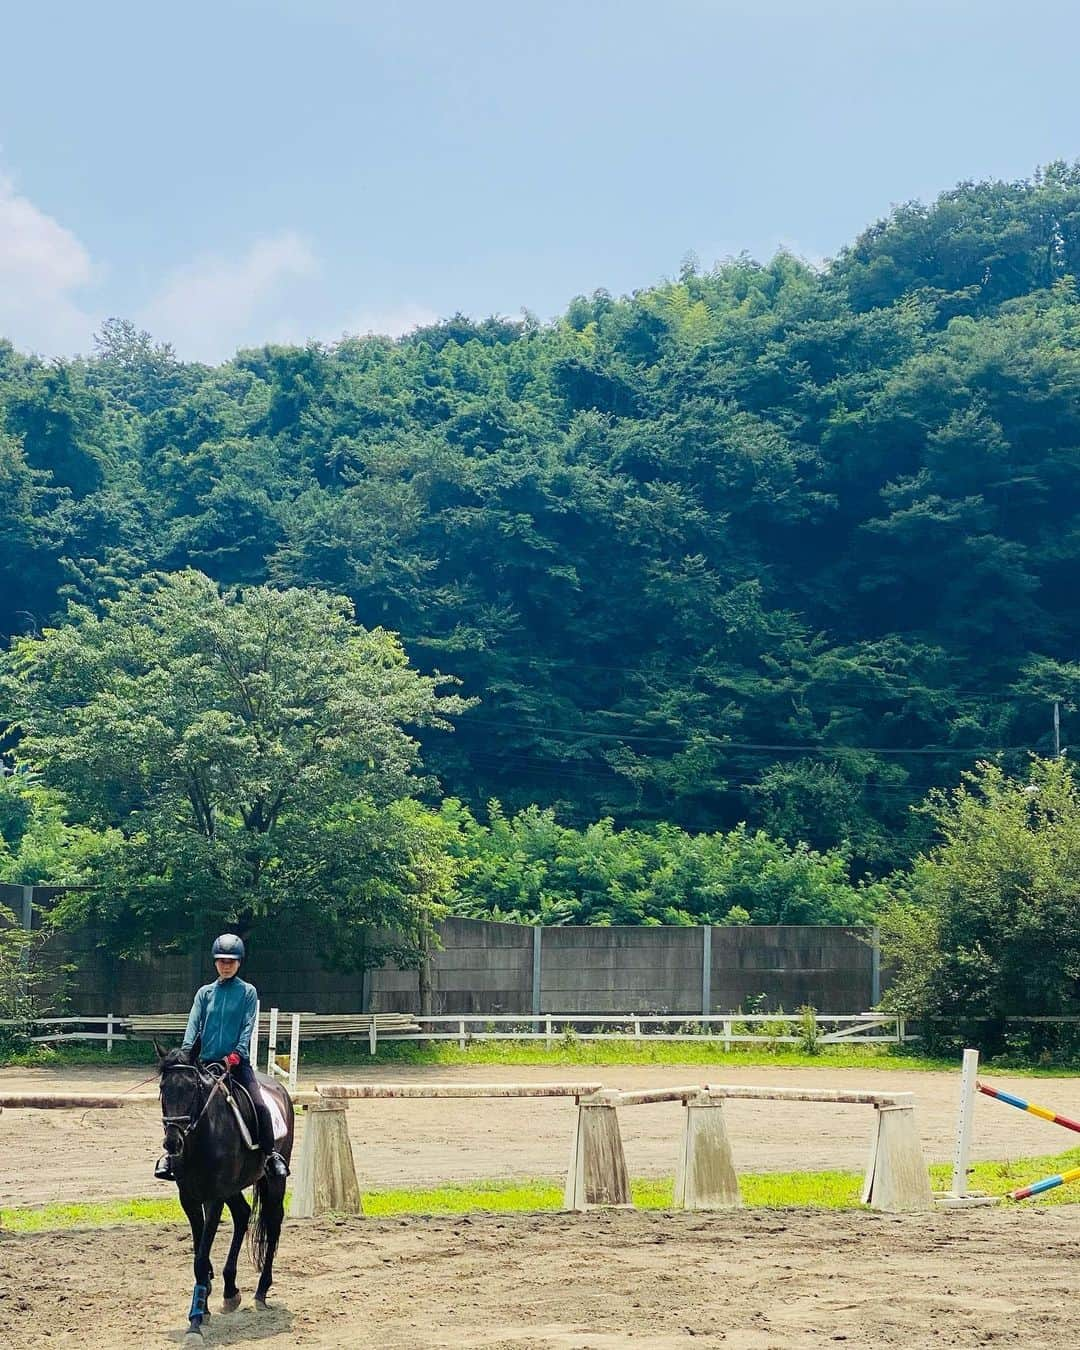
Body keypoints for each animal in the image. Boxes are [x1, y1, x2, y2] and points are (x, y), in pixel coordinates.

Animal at [155, 1036, 295, 1333]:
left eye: (192, 1087)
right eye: (163, 1088)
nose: (172, 1142)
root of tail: (280, 1089)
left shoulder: (213, 1197)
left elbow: (200, 1258)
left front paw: (196, 1318)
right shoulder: (189, 1197)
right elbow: (200, 1252)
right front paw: (205, 1298)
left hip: (273, 1181)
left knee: (273, 1222)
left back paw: (261, 1291)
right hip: (232, 1187)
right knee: (242, 1214)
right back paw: (230, 1290)